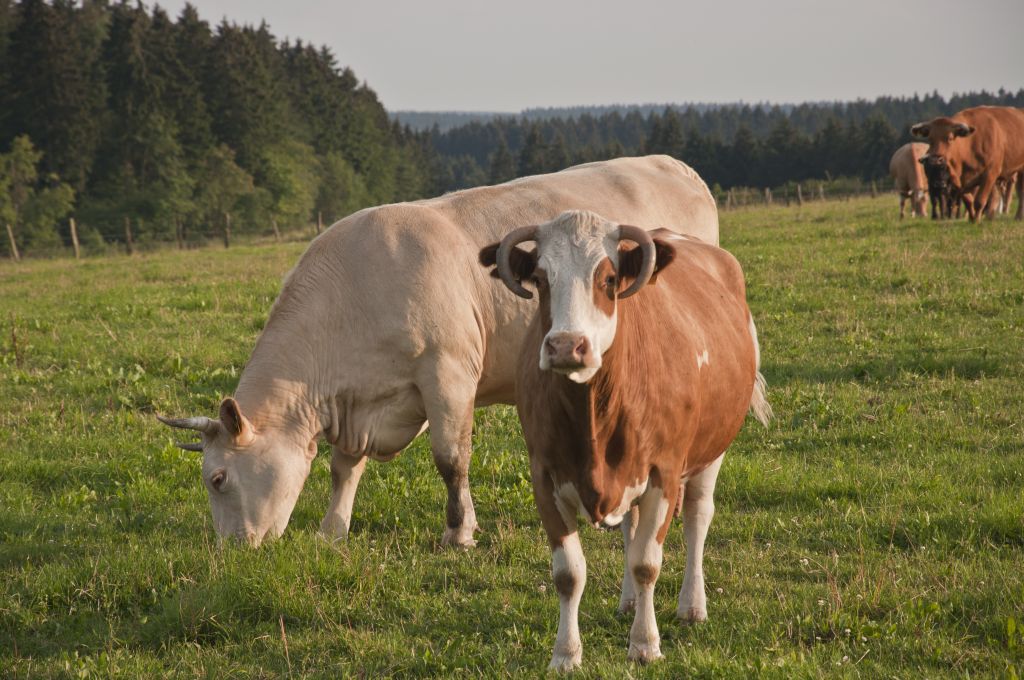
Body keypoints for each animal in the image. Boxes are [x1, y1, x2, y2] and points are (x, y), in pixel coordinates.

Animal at [479, 208, 770, 667]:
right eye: (541, 280)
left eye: (609, 278)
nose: (566, 346)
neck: (593, 411)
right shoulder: (544, 476)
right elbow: (569, 573)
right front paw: (566, 653)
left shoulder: (663, 474)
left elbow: (646, 563)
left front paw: (645, 644)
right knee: (630, 528)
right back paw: (629, 602)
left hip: (712, 451)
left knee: (697, 518)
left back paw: (692, 605)